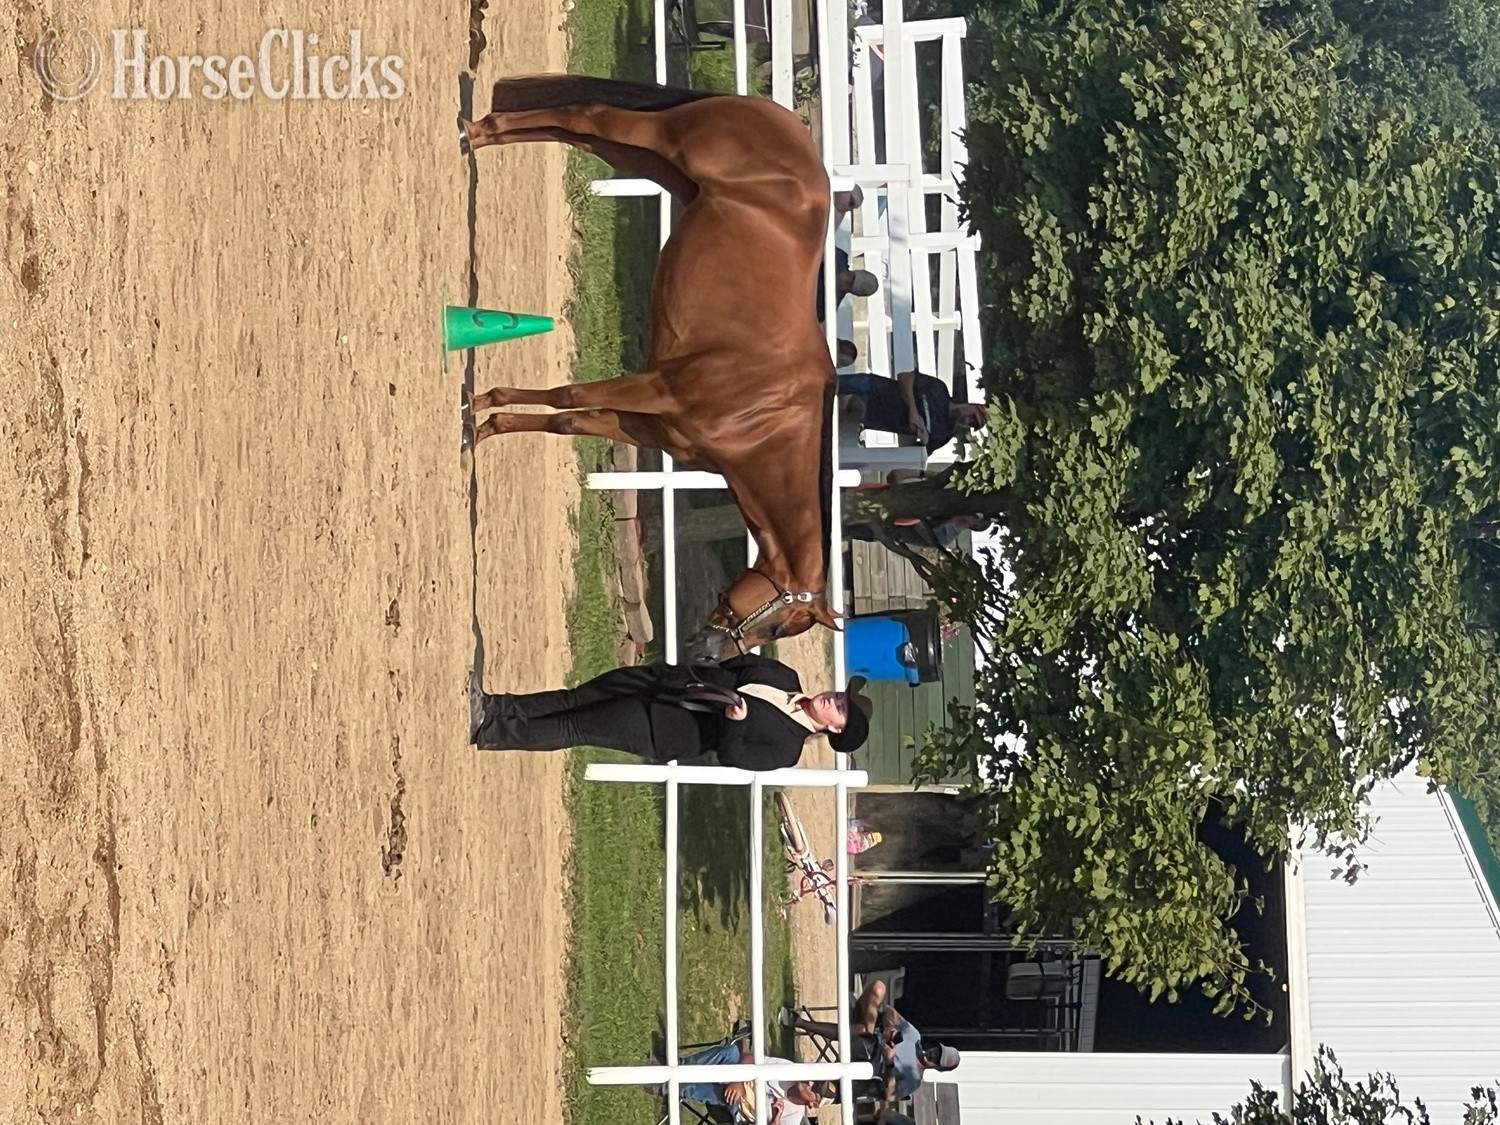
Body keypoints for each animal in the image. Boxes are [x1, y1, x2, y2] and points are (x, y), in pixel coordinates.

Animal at [460, 75, 843, 661]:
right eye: (781, 625)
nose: (709, 652)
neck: (766, 413)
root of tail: (778, 116)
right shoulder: (654, 389)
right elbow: (569, 396)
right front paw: (478, 406)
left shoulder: (644, 425)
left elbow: (564, 421)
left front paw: (486, 425)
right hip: (657, 140)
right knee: (585, 113)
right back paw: (478, 133)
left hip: (649, 162)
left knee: (575, 132)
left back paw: (483, 134)